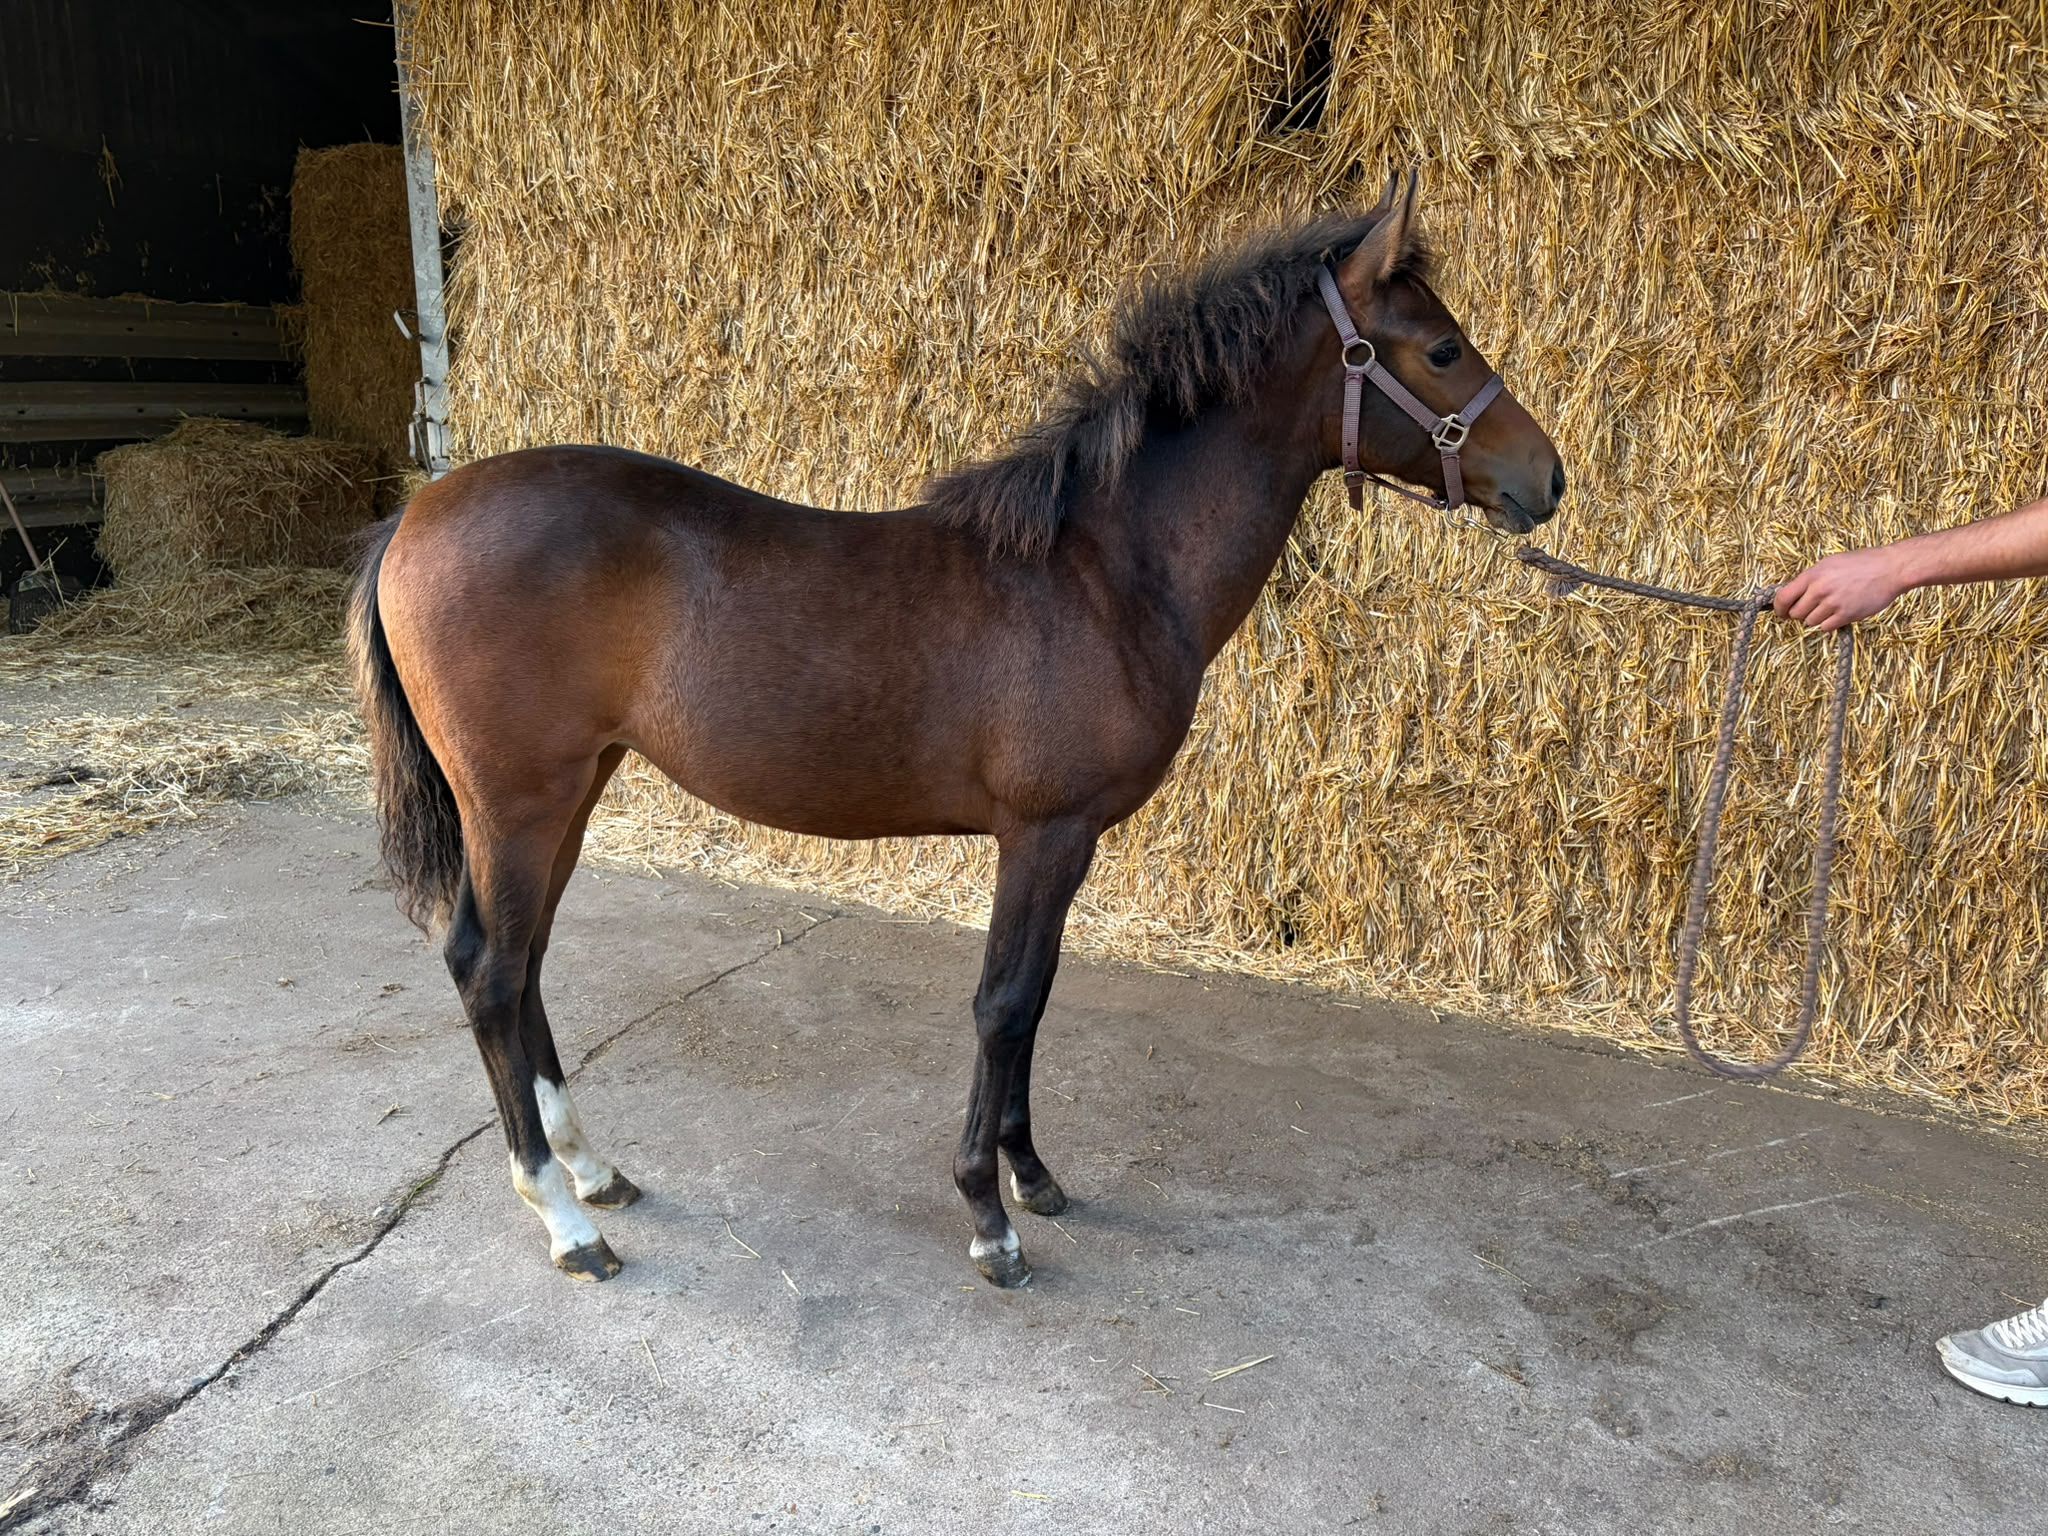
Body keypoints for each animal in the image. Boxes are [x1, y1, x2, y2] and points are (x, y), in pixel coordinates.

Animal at [348, 172, 1564, 1288]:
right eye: (1443, 349)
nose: (1546, 479)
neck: (1102, 571)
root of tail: (415, 512)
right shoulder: (1043, 831)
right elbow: (1003, 1004)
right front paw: (989, 1214)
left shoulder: (1065, 843)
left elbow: (1034, 1000)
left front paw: (1032, 1175)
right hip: (518, 802)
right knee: (489, 972)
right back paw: (565, 1220)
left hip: (575, 788)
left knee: (526, 966)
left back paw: (593, 1170)